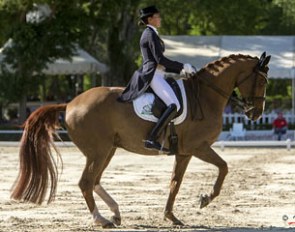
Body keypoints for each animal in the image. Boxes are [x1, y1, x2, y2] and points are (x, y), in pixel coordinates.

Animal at [11, 52, 270, 227]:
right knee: (86, 182)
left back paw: (115, 212)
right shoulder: (198, 147)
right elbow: (224, 167)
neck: (206, 95)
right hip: (99, 151)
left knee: (94, 181)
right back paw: (101, 219)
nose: (256, 114)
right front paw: (205, 199)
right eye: (262, 81)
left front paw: (171, 216)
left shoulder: (184, 152)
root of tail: (70, 104)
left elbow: (175, 183)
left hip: (108, 150)